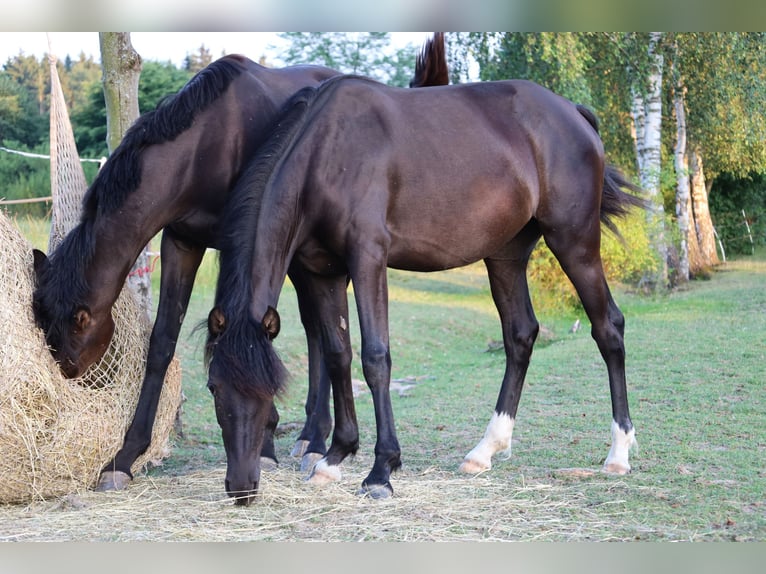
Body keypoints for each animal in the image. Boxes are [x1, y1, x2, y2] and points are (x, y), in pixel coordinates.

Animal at [31, 36, 450, 496]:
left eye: (73, 331)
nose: (70, 376)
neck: (203, 144)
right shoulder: (182, 241)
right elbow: (162, 343)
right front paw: (124, 458)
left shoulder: (241, 239)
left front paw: (264, 442)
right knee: (318, 331)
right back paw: (312, 437)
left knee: (317, 333)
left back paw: (315, 439)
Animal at [206, 73, 648, 508]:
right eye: (213, 387)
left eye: (269, 390)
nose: (241, 488)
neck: (324, 154)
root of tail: (574, 113)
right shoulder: (322, 274)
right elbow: (337, 356)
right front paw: (334, 458)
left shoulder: (367, 259)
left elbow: (375, 359)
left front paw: (381, 471)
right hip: (505, 255)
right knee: (520, 335)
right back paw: (485, 450)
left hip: (574, 242)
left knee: (608, 328)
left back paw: (618, 454)